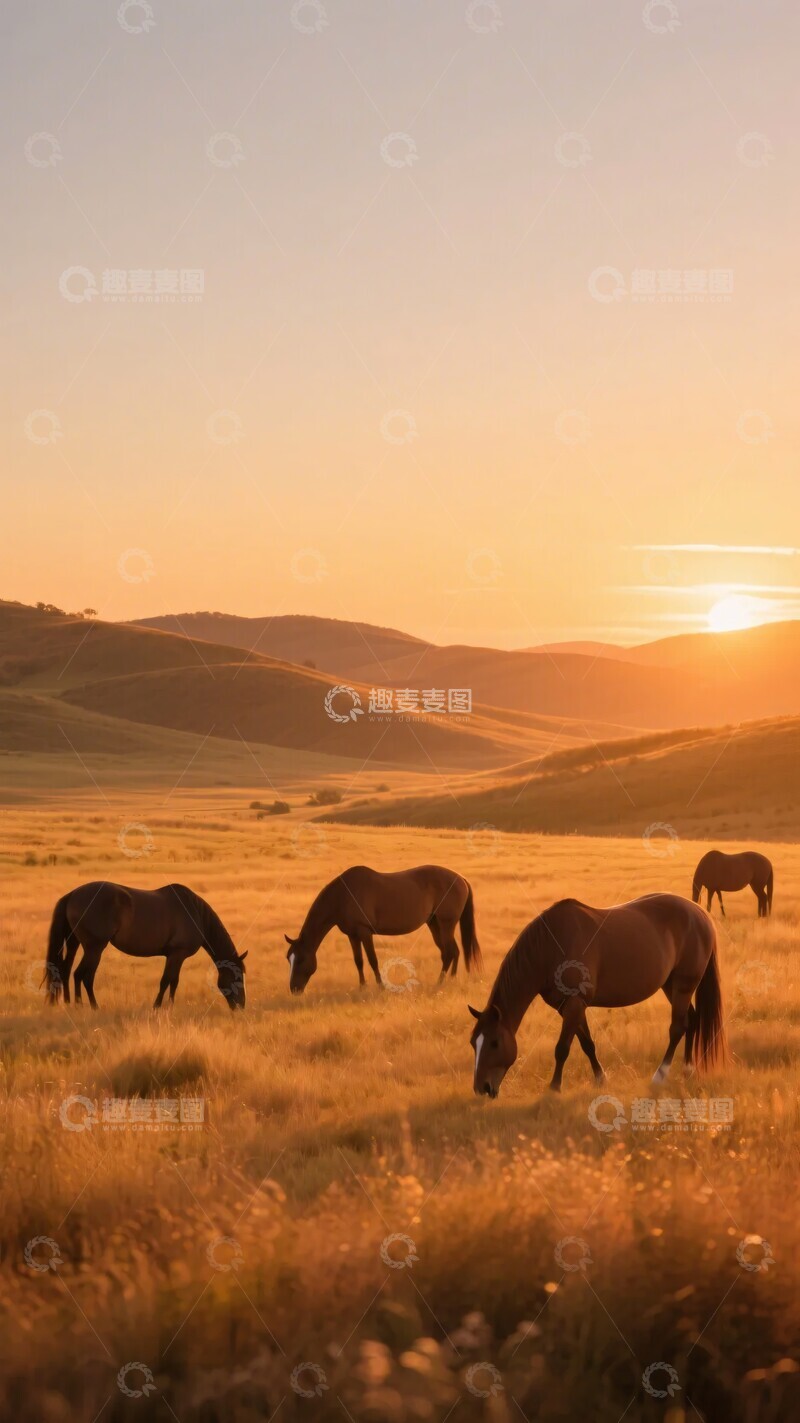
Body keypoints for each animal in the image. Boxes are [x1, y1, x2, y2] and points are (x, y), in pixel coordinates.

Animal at [43, 881, 247, 1010]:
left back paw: (69, 1003)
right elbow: (166, 980)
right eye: (237, 977)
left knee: (66, 970)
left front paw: (170, 1006)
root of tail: (72, 895)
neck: (195, 913)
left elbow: (173, 981)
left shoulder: (175, 956)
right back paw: (91, 1006)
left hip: (74, 943)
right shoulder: (177, 954)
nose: (241, 1006)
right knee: (83, 976)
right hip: (95, 948)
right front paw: (157, 1006)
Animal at [284, 864, 481, 993]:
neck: (342, 896)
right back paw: (450, 980)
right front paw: (362, 987)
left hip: (446, 924)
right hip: (435, 924)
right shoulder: (353, 935)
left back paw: (440, 983)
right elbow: (359, 961)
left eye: (301, 960)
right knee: (452, 951)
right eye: (289, 959)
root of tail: (461, 878)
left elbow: (373, 960)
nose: (294, 989)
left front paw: (380, 987)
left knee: (449, 952)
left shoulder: (365, 932)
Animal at [468, 894, 725, 1096]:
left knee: (677, 1028)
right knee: (691, 1020)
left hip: (683, 985)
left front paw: (554, 1088)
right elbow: (586, 1044)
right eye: (473, 1043)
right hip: (671, 985)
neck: (549, 947)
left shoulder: (573, 1005)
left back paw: (660, 1076)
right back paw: (688, 1070)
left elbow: (562, 1048)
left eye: (494, 1042)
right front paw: (601, 1079)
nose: (482, 1088)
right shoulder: (570, 1006)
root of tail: (701, 914)